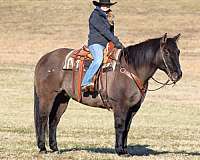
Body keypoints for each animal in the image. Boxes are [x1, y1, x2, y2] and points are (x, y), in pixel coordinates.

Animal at [34, 33, 183, 155]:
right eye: (166, 51)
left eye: (178, 52)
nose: (178, 74)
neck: (131, 69)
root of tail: (44, 58)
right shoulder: (120, 106)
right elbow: (120, 126)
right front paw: (119, 151)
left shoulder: (133, 108)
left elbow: (127, 128)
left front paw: (125, 150)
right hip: (47, 97)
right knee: (43, 118)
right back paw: (43, 148)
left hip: (62, 99)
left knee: (54, 121)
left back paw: (55, 148)